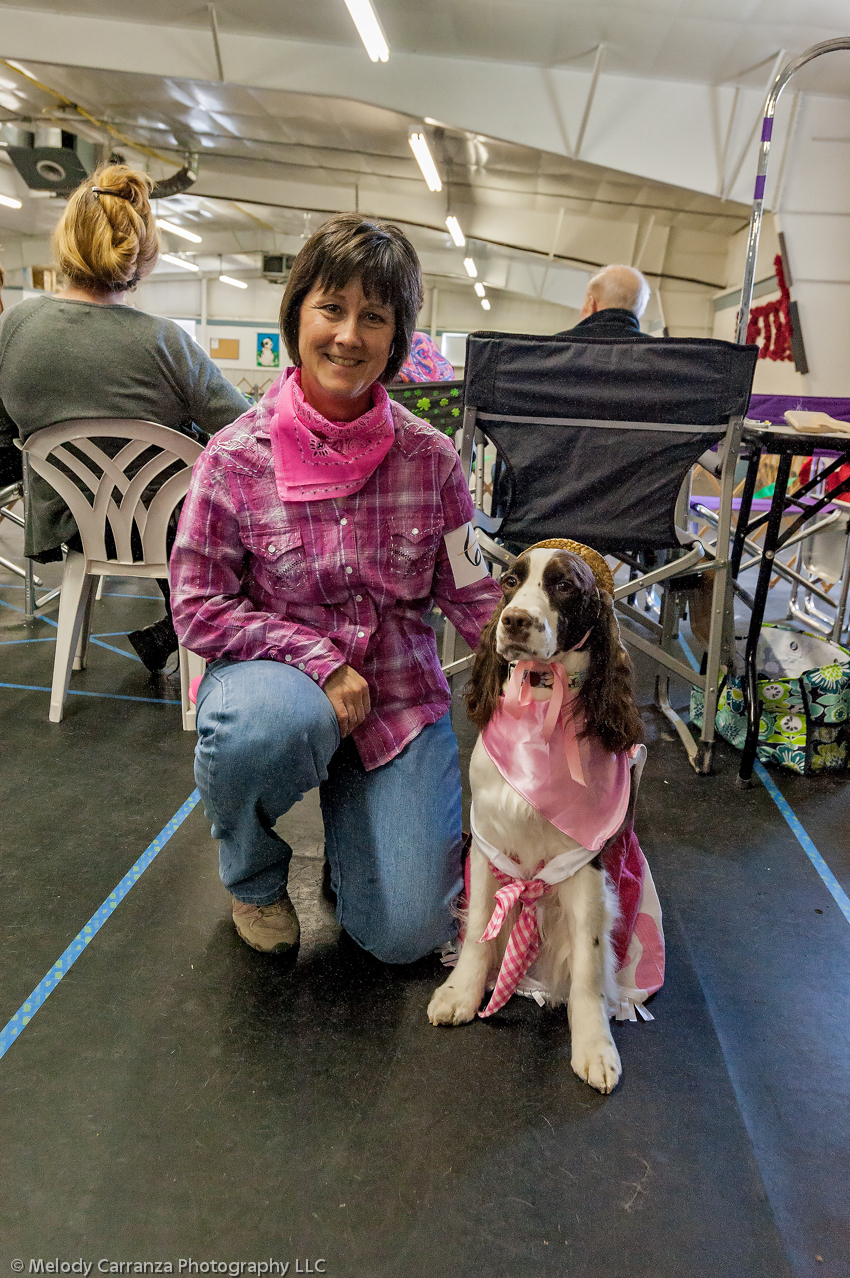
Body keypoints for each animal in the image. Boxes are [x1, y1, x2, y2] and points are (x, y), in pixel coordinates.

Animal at [426, 544, 639, 1093]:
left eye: (564, 585)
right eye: (508, 580)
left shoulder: (584, 864)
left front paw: (594, 1047)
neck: (543, 701)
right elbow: (479, 928)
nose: (515, 620)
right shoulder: (487, 842)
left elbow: (588, 964)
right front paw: (460, 993)